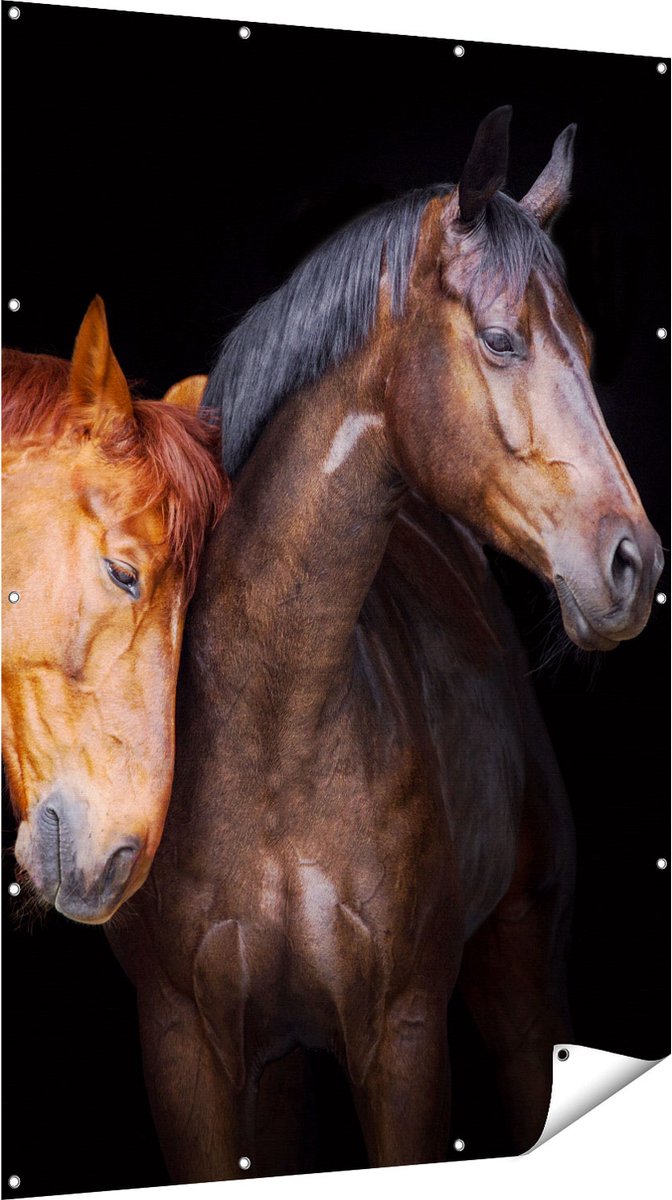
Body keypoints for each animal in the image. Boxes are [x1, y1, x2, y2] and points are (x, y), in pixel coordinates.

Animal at [107, 106, 660, 1180]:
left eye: (586, 342)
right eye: (501, 339)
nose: (634, 564)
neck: (275, 724)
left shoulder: (402, 1038)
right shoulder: (185, 1046)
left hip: (519, 992)